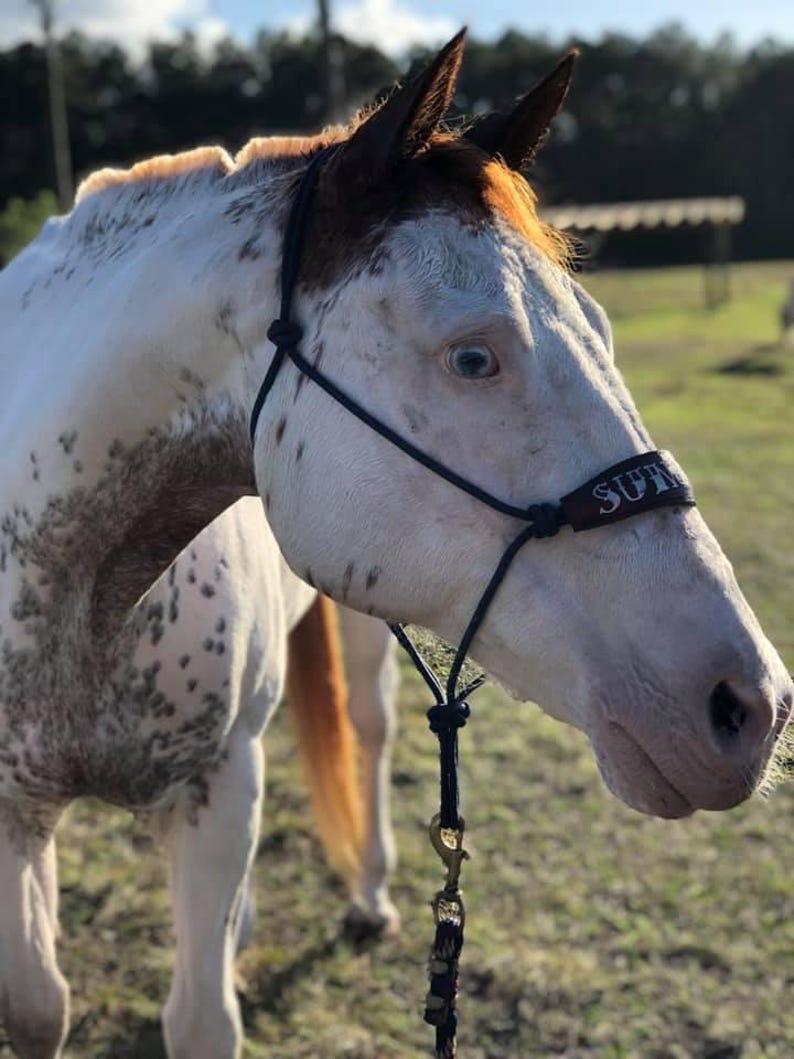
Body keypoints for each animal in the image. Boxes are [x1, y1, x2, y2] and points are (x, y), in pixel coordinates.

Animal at [1, 29, 791, 1059]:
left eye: (604, 328)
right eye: (473, 356)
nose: (753, 706)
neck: (82, 595)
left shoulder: (219, 788)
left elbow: (201, 1014)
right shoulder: (14, 817)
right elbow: (36, 1004)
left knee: (368, 733)